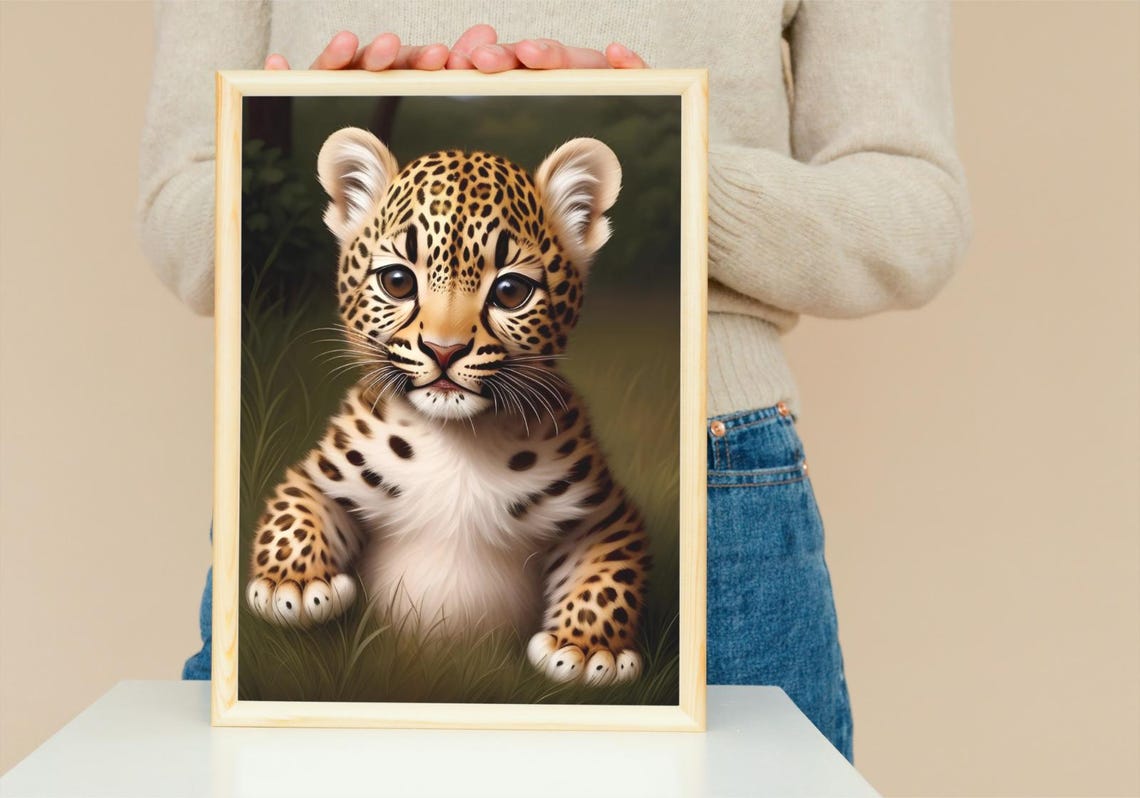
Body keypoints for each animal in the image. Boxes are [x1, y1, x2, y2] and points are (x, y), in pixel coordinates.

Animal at [244, 127, 651, 686]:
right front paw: (292, 586)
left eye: (510, 290)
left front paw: (587, 650)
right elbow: (293, 510)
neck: (457, 443)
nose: (443, 349)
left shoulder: (604, 514)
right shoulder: (322, 473)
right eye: (397, 281)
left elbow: (609, 572)